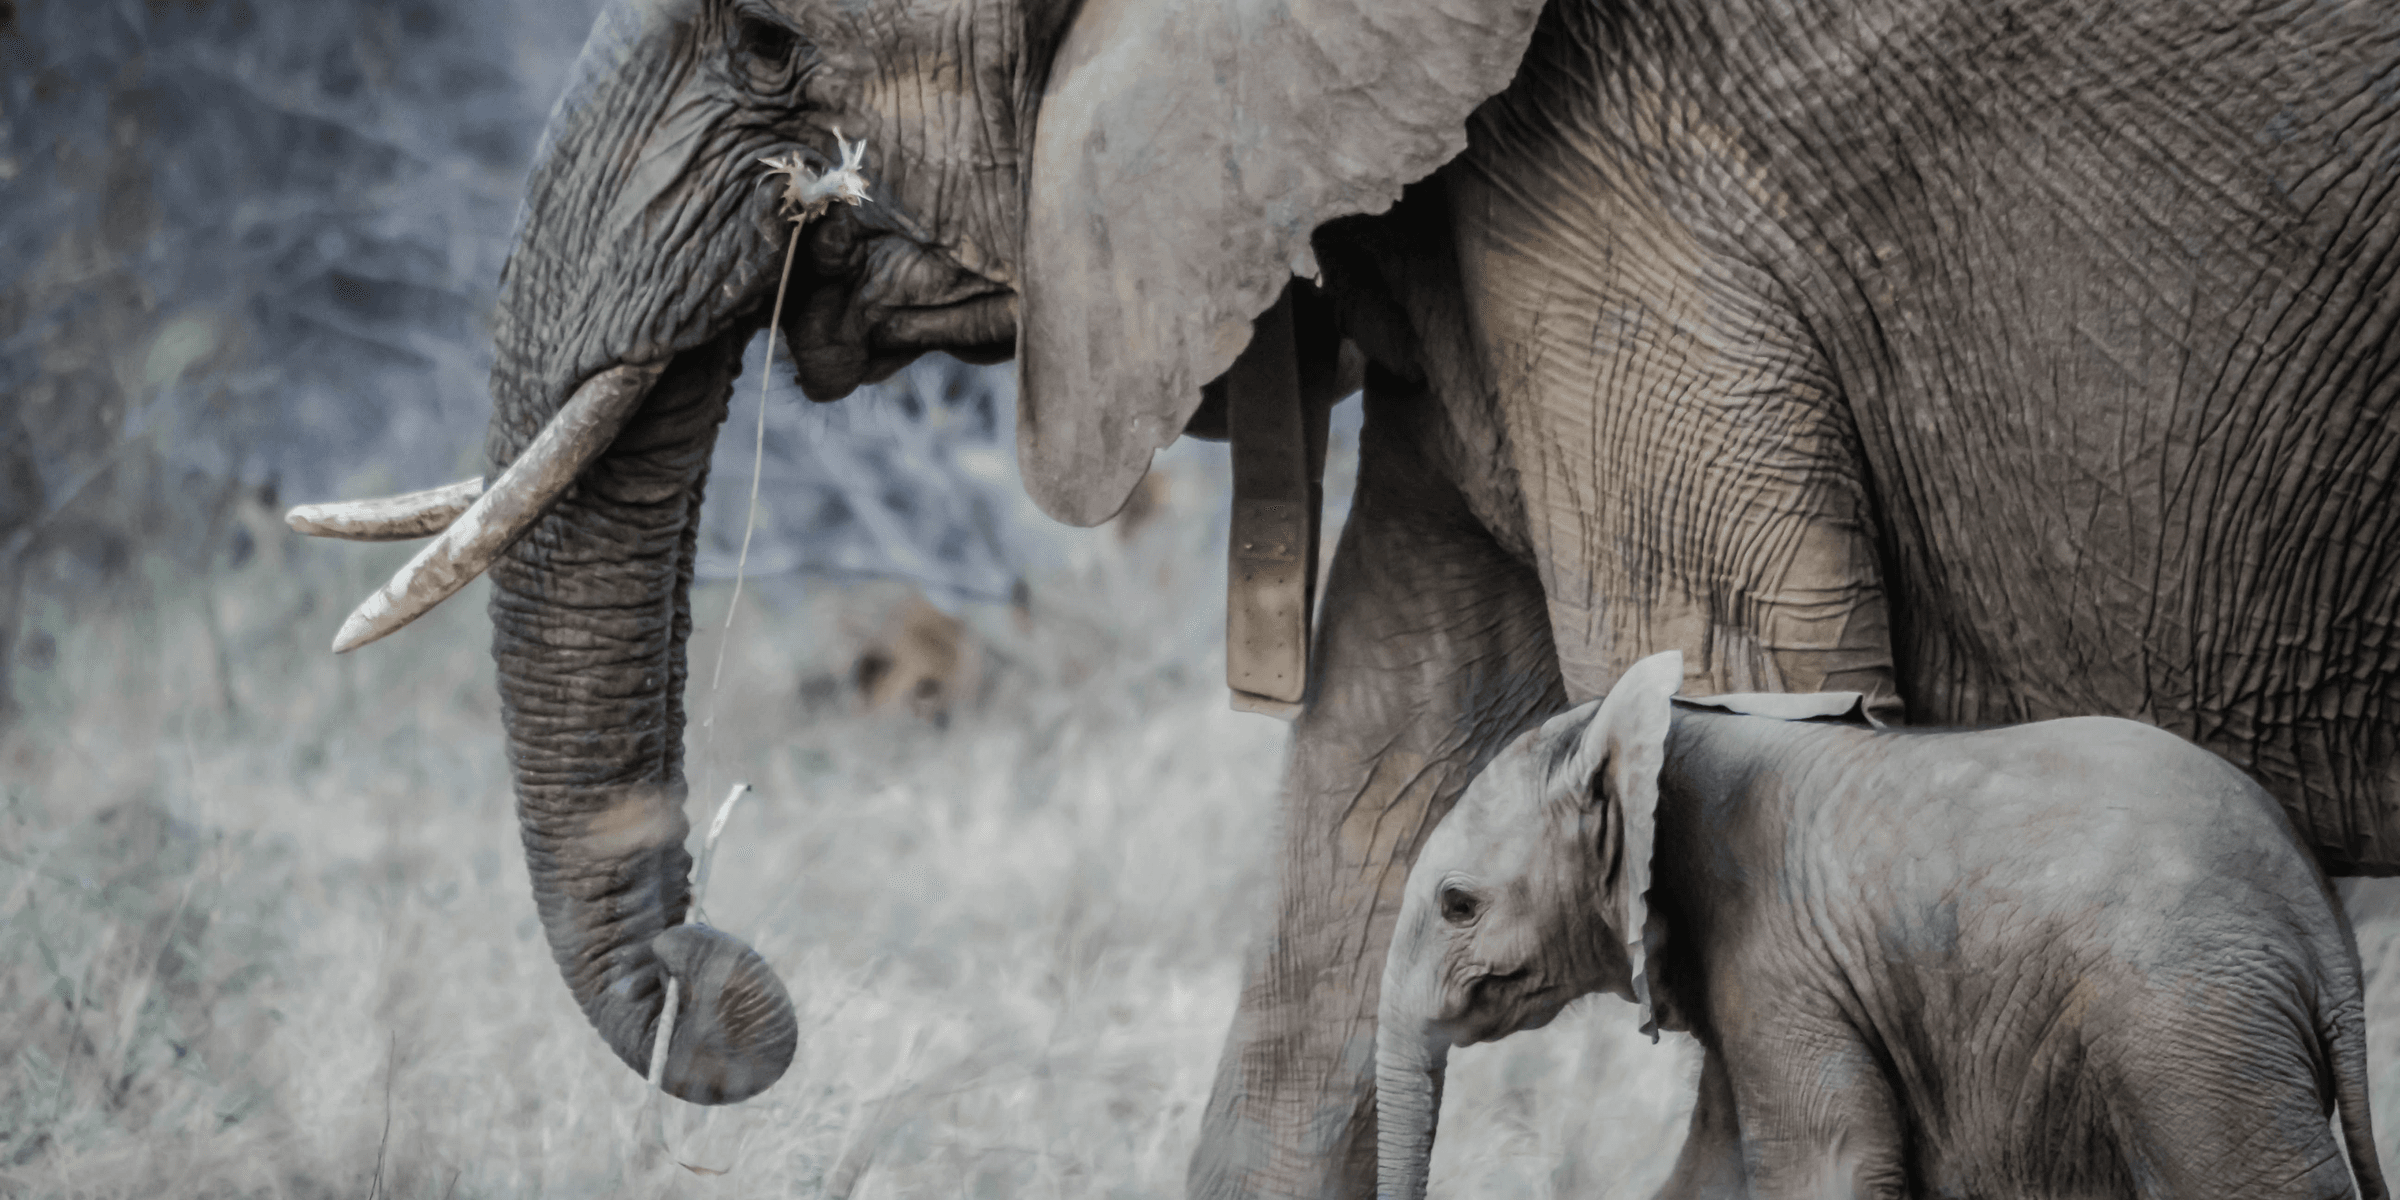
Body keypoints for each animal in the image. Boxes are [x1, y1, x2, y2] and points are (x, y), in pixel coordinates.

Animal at [1376, 651, 2389, 1200]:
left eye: (1458, 905)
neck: (1657, 732)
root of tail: (2322, 932)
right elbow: (1715, 1173)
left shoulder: (1780, 956)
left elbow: (1830, 1164)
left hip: (2191, 1030)